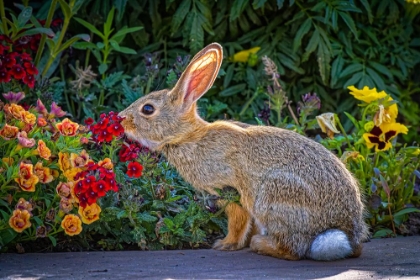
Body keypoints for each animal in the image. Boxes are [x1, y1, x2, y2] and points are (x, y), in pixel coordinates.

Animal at [118, 42, 368, 262]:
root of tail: (344, 234)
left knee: (293, 249)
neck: (186, 137)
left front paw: (225, 244)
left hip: (274, 197)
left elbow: (237, 220)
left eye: (147, 109)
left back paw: (261, 244)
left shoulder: (229, 189)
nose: (121, 119)